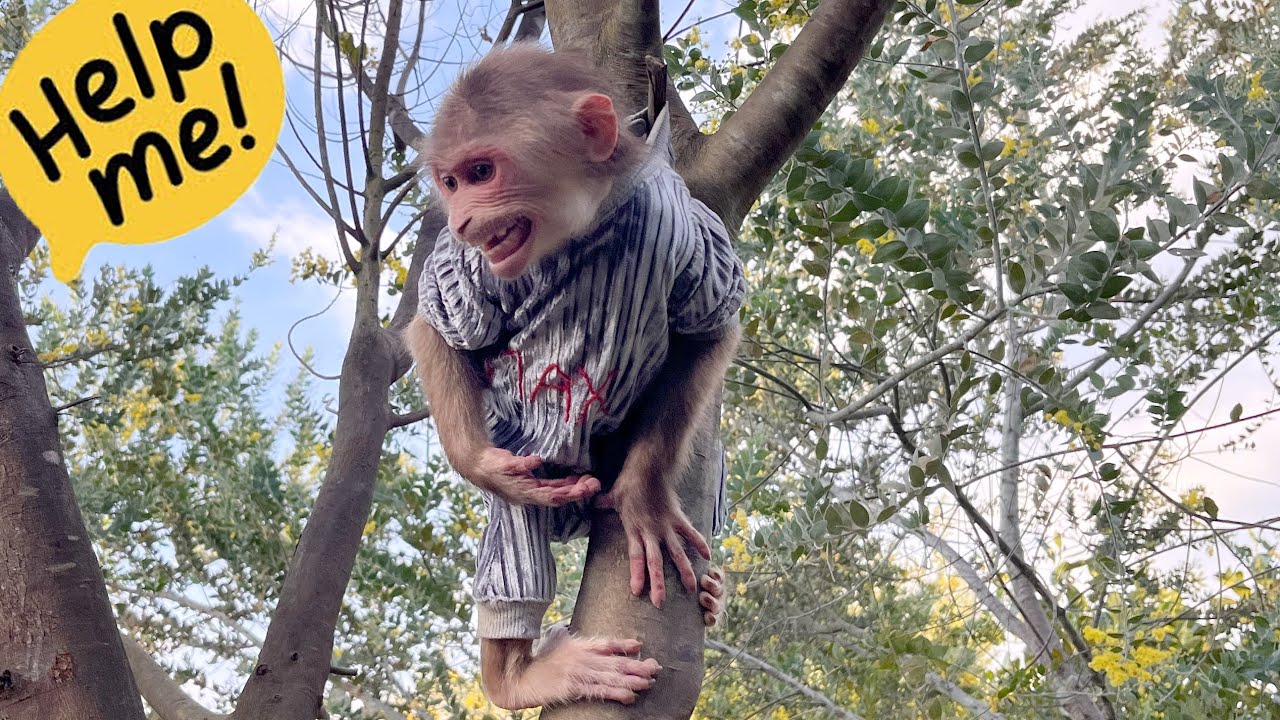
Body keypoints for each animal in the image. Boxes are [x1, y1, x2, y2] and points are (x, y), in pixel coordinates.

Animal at [404, 43, 743, 709]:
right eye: (449, 182)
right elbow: (439, 327)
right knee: (518, 526)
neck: (583, 231)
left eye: (480, 172)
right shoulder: (472, 269)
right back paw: (516, 677)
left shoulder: (685, 227)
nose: (459, 220)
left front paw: (642, 496)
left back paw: (710, 592)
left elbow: (709, 328)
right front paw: (482, 466)